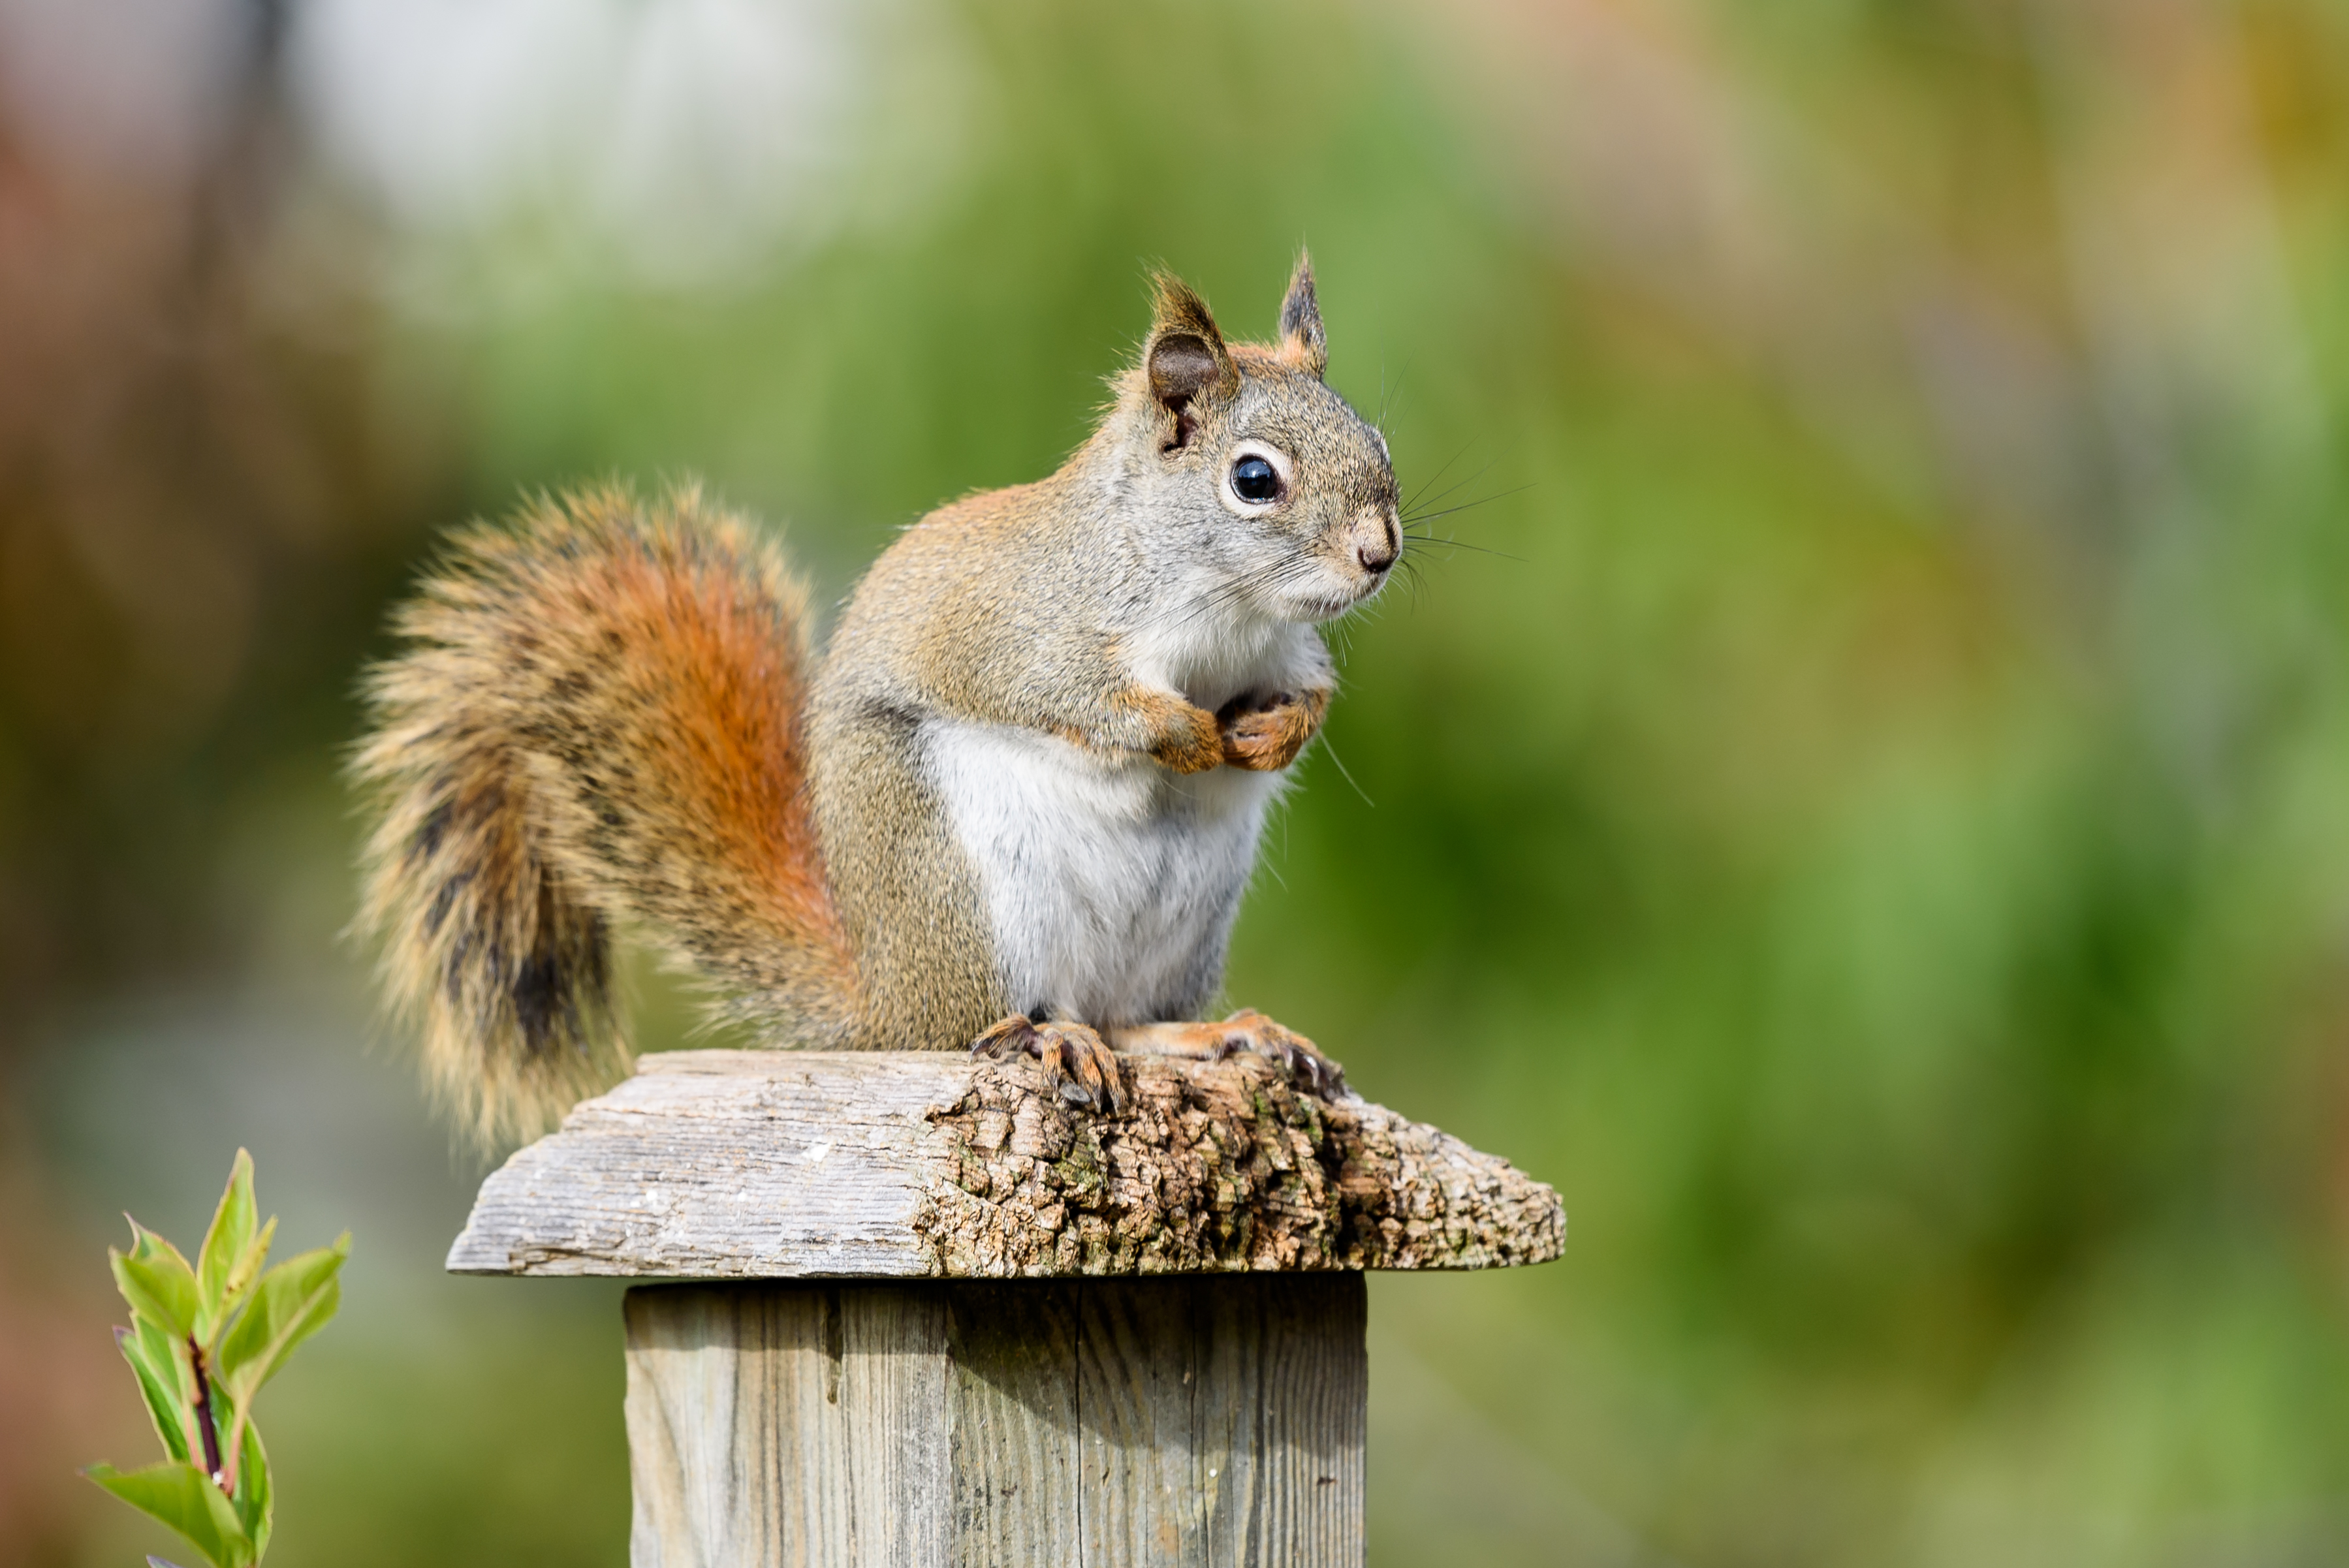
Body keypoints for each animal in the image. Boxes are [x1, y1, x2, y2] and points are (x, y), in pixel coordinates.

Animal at [347, 255, 1391, 1140]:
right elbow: (1066, 692)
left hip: (1187, 924)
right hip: (971, 892)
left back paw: (1217, 1032)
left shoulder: (1287, 646)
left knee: (1127, 1018)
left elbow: (1311, 690)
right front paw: (1184, 734)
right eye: (1253, 479)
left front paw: (1273, 734)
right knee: (985, 1023)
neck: (1225, 609)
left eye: (1374, 439)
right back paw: (1046, 1034)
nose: (1379, 554)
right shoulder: (1025, 625)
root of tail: (881, 997)